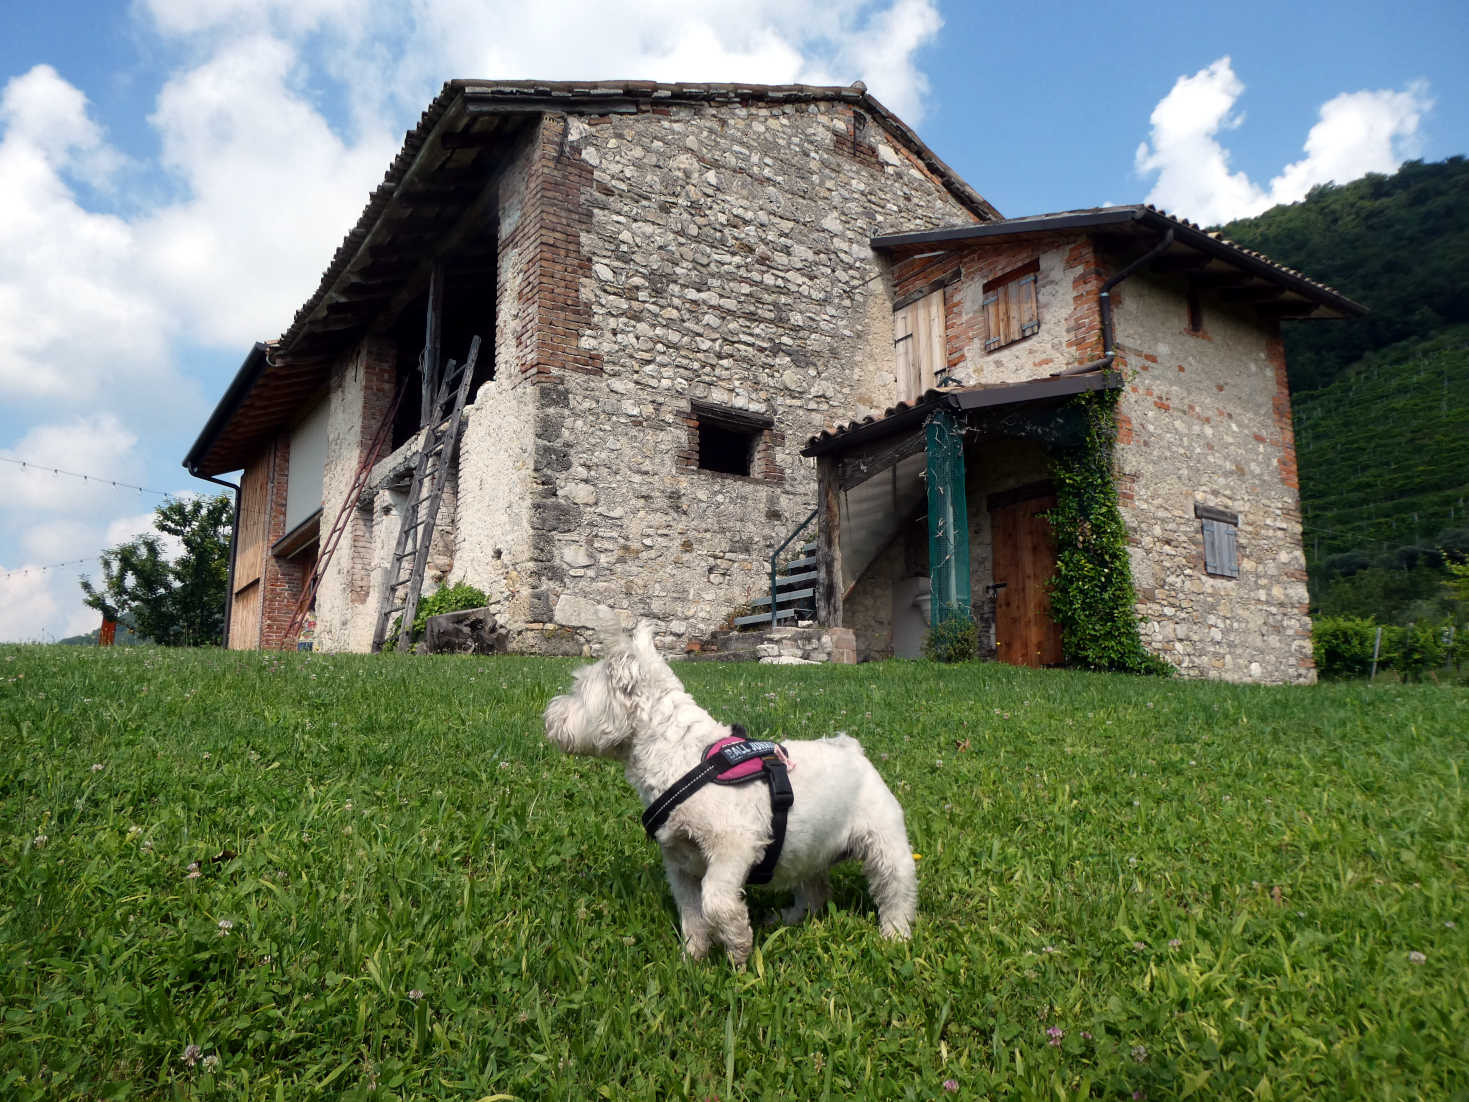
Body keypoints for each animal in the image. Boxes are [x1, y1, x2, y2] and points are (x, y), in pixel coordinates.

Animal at [543, 622, 916, 963]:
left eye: (578, 691)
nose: (548, 715)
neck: (681, 758)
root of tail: (853, 749)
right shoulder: (680, 863)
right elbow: (692, 914)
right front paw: (693, 959)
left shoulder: (733, 846)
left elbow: (716, 901)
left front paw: (738, 947)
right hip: (807, 849)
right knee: (814, 892)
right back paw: (790, 917)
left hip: (883, 841)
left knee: (896, 889)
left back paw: (895, 936)